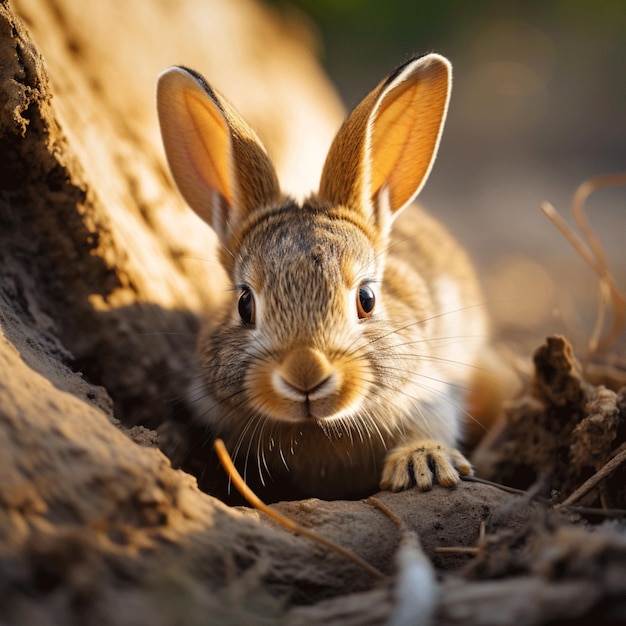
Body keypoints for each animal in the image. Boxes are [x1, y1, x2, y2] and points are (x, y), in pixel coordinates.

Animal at [156, 54, 488, 502]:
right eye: (245, 304)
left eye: (366, 299)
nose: (305, 373)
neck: (316, 428)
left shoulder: (429, 388)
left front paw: (424, 463)